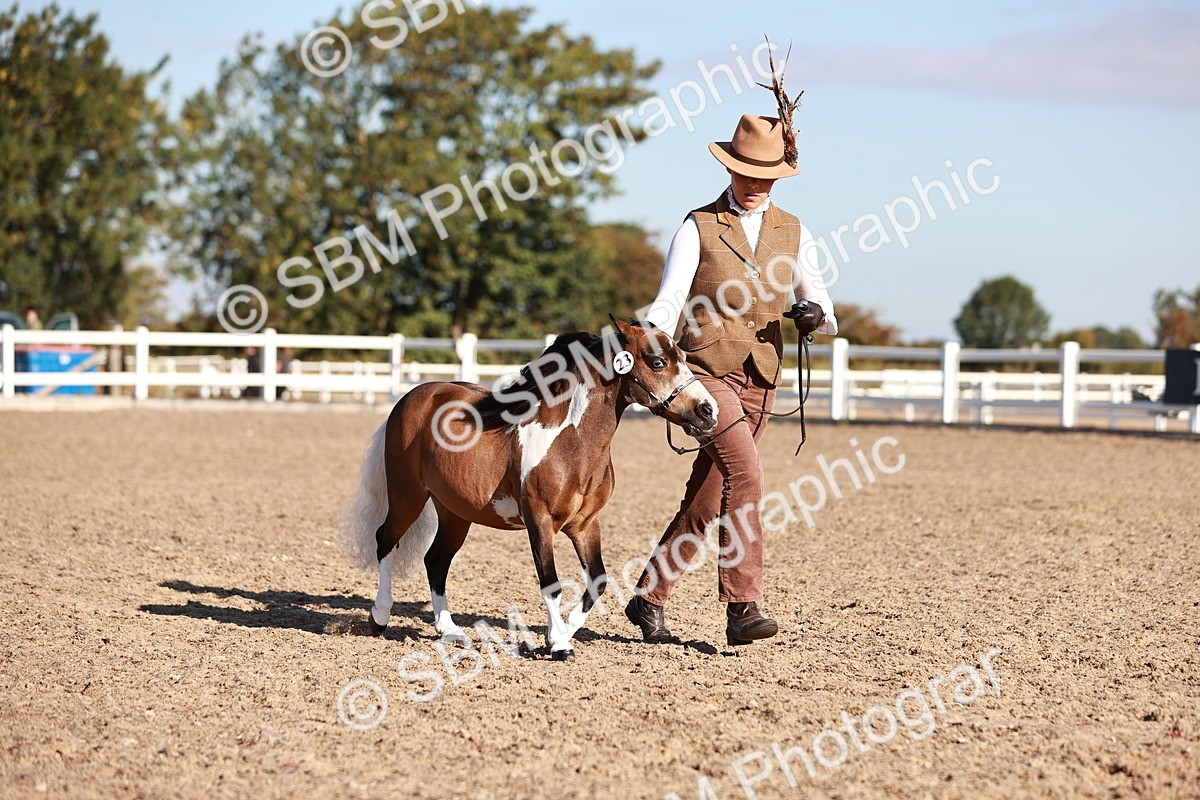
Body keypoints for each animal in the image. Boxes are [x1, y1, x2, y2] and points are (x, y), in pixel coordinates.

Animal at [341, 316, 719, 660]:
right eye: (658, 362)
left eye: (682, 357)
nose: (707, 411)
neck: (570, 444)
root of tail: (411, 397)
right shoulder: (539, 520)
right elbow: (550, 582)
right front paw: (561, 645)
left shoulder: (585, 524)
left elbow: (597, 580)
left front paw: (557, 635)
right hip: (408, 496)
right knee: (385, 540)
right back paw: (380, 616)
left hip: (454, 512)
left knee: (436, 560)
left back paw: (449, 630)